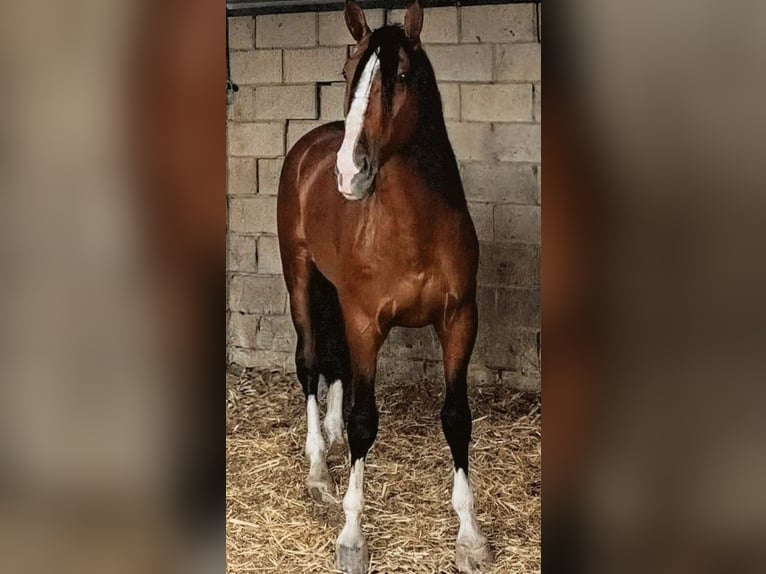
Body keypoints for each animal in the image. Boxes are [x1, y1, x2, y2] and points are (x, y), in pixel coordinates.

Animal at [277, 2, 492, 572]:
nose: (350, 173)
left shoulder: (459, 321)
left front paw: (470, 534)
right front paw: (352, 536)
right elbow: (363, 420)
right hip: (300, 279)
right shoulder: (364, 323)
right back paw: (318, 469)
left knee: (336, 367)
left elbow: (456, 417)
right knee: (311, 362)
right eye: (348, 70)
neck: (412, 229)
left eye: (401, 75)